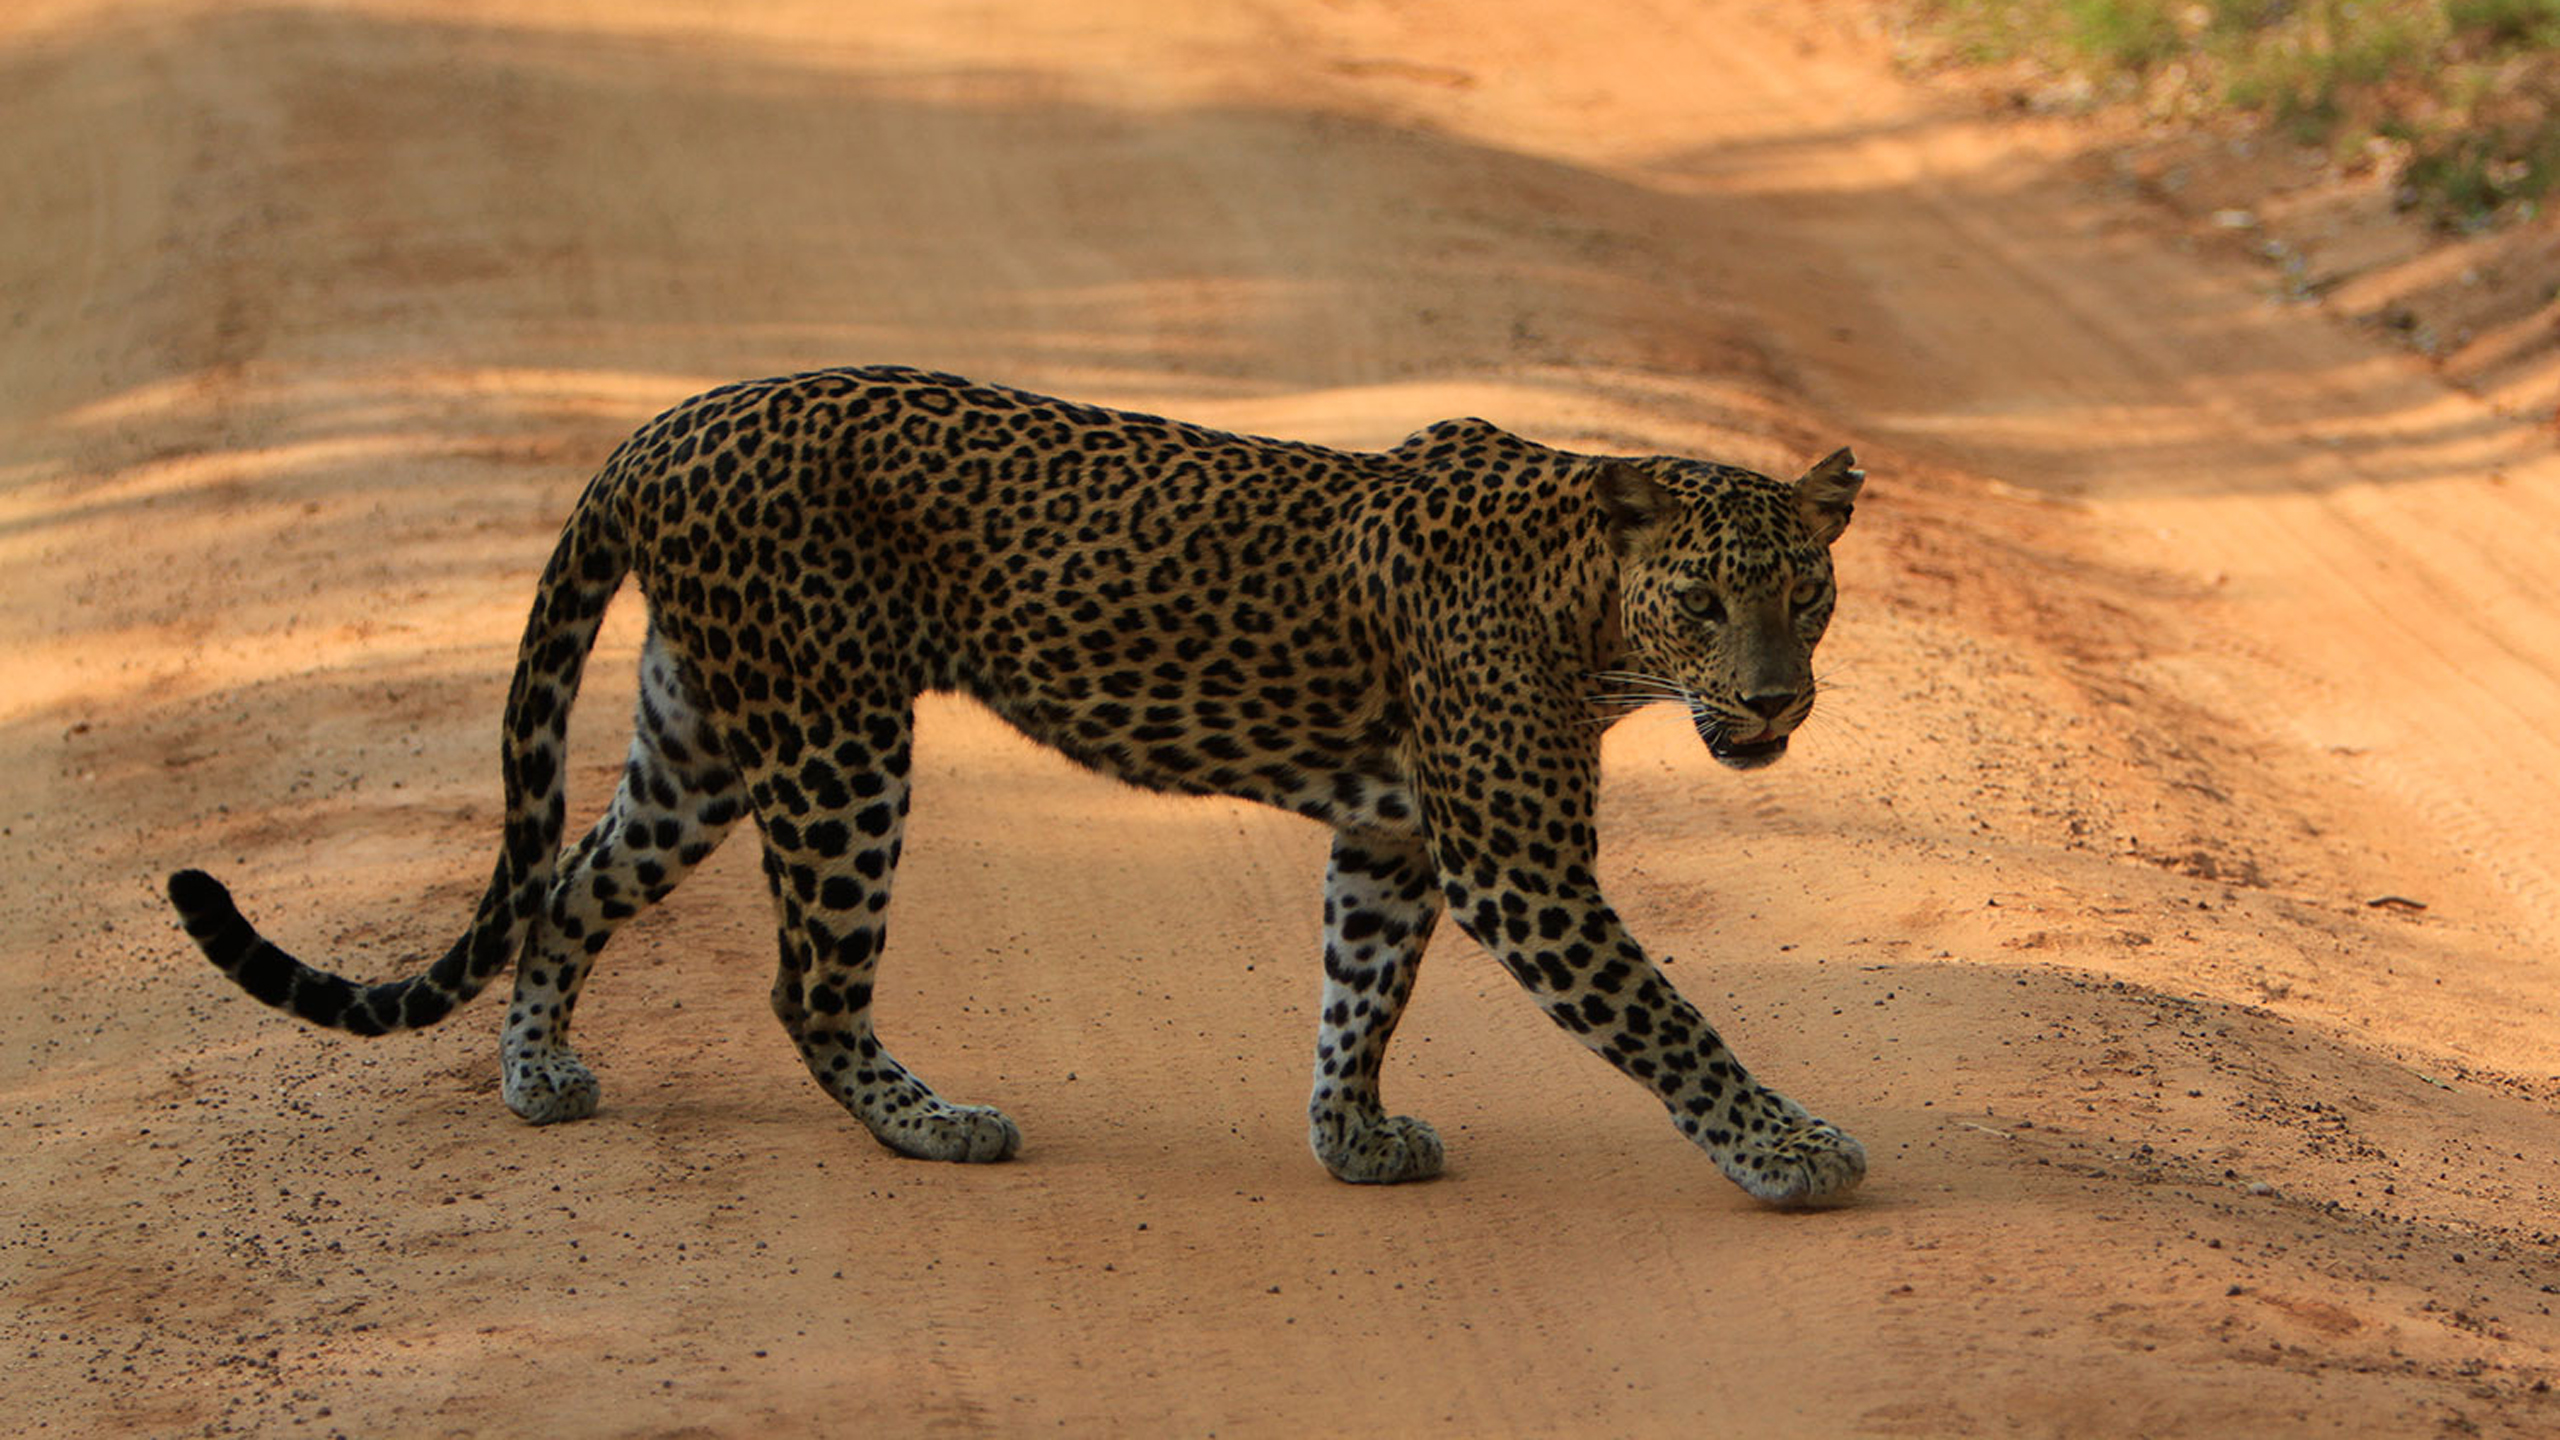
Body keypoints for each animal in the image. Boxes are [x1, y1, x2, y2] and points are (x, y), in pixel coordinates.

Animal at [167, 364, 1868, 1206]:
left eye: (1808, 594)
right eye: (1705, 601)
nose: (1775, 699)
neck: (1590, 610)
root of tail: (662, 428)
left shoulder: (1392, 840)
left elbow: (1359, 991)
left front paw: (1352, 1138)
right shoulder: (1520, 864)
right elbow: (1667, 1019)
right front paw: (1789, 1153)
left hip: (702, 737)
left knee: (570, 886)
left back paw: (539, 1076)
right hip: (839, 738)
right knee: (805, 983)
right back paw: (935, 1127)